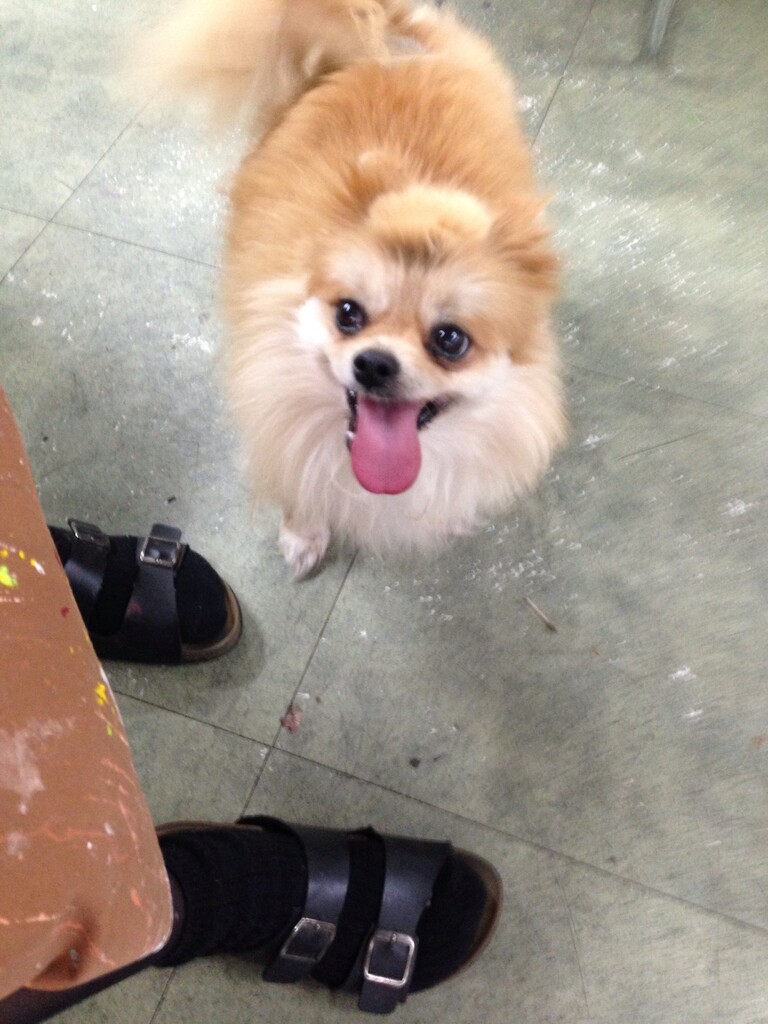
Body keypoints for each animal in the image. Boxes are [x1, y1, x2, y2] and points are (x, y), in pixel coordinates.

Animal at [140, 0, 566, 577]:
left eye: (450, 340)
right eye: (348, 313)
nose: (375, 363)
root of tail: (374, 52)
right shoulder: (279, 415)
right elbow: (300, 483)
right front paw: (303, 533)